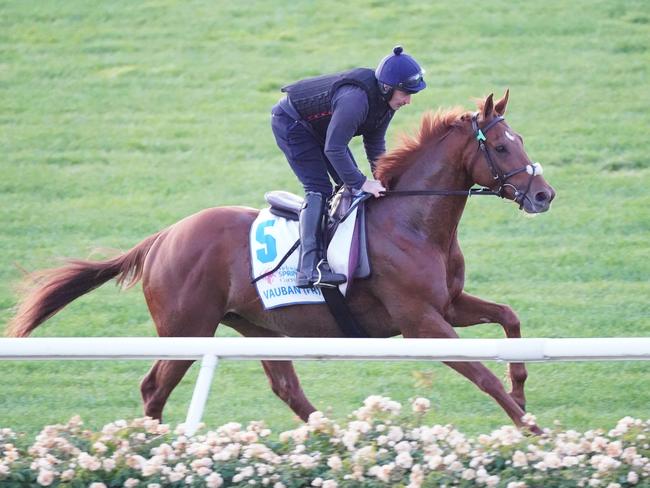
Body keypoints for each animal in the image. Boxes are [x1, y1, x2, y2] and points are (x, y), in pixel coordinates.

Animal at [7, 90, 552, 430]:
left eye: (521, 140)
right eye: (502, 146)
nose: (545, 195)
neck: (413, 222)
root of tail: (161, 238)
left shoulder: (450, 304)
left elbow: (510, 319)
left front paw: (523, 393)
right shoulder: (420, 322)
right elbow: (481, 374)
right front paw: (529, 426)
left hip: (258, 327)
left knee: (287, 389)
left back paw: (332, 437)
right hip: (187, 328)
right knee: (153, 389)